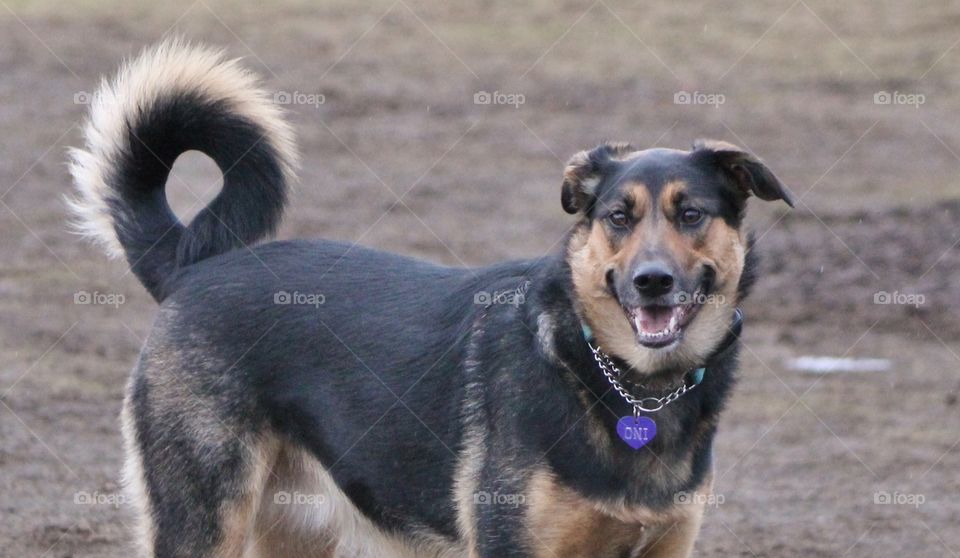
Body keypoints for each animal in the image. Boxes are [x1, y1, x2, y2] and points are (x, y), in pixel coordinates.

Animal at [69, 40, 796, 558]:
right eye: (619, 217)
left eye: (691, 214)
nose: (652, 281)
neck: (628, 387)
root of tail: (193, 266)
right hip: (205, 517)